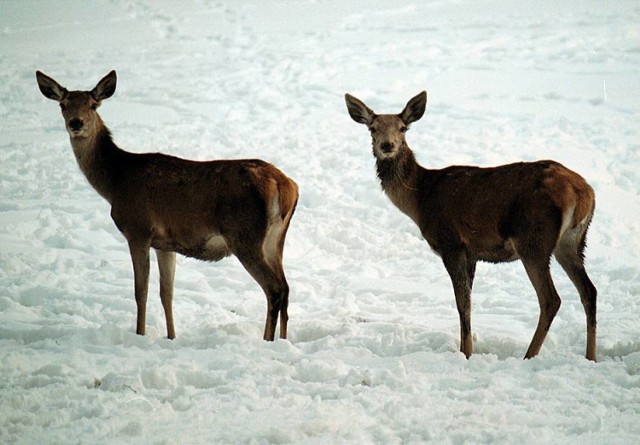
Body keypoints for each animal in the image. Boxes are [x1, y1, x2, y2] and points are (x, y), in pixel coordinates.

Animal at [37, 70, 300, 340]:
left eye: (92, 104)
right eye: (63, 104)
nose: (76, 123)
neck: (115, 182)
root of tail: (286, 186)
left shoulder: (138, 229)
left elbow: (140, 291)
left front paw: (140, 335)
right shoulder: (165, 243)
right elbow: (167, 293)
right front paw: (171, 337)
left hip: (244, 235)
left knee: (274, 289)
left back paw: (266, 341)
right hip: (274, 240)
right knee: (286, 287)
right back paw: (282, 340)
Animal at [348, 91, 596, 360]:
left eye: (403, 128)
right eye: (373, 128)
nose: (387, 146)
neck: (420, 198)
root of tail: (583, 193)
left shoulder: (451, 243)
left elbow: (462, 303)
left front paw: (466, 354)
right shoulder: (472, 252)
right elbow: (466, 300)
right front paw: (464, 349)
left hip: (533, 239)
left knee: (551, 299)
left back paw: (529, 356)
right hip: (571, 242)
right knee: (589, 291)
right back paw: (590, 357)